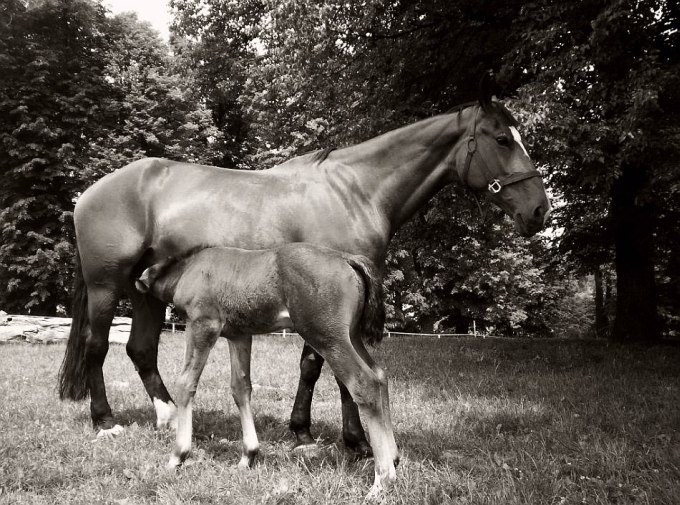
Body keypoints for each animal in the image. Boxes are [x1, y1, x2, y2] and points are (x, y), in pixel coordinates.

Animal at [58, 86, 552, 448]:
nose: (540, 211)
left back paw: (165, 416)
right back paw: (105, 421)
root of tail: (90, 193)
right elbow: (328, 367)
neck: (357, 192)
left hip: (145, 290)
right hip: (106, 285)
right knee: (96, 346)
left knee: (140, 349)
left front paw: (305, 429)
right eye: (502, 139)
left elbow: (314, 366)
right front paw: (352, 441)